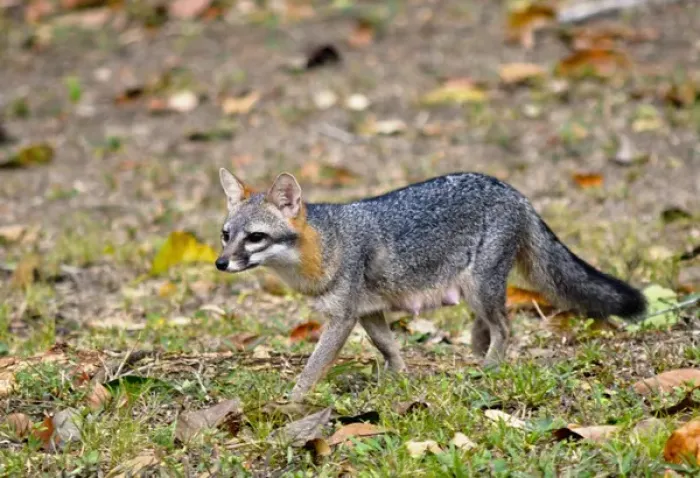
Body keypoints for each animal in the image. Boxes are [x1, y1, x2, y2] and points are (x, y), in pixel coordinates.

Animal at [215, 168, 647, 401]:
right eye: (225, 235)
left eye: (255, 238)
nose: (220, 263)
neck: (326, 245)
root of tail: (512, 190)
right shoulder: (368, 312)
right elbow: (389, 347)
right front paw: (400, 378)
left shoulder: (342, 319)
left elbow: (312, 367)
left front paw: (292, 401)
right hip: (478, 293)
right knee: (491, 326)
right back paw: (478, 352)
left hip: (480, 289)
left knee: (506, 327)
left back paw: (489, 367)